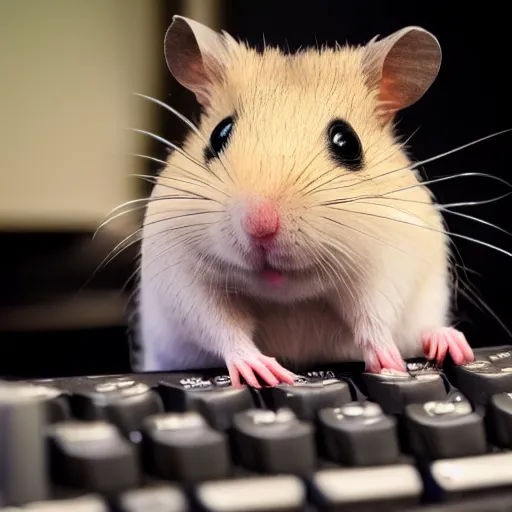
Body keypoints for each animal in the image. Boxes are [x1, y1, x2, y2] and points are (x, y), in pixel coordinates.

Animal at [133, 16, 476, 388]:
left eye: (347, 142)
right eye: (219, 134)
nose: (260, 225)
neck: (288, 297)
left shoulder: (389, 262)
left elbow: (373, 318)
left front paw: (393, 366)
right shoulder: (179, 275)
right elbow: (222, 328)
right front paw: (266, 372)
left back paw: (449, 343)